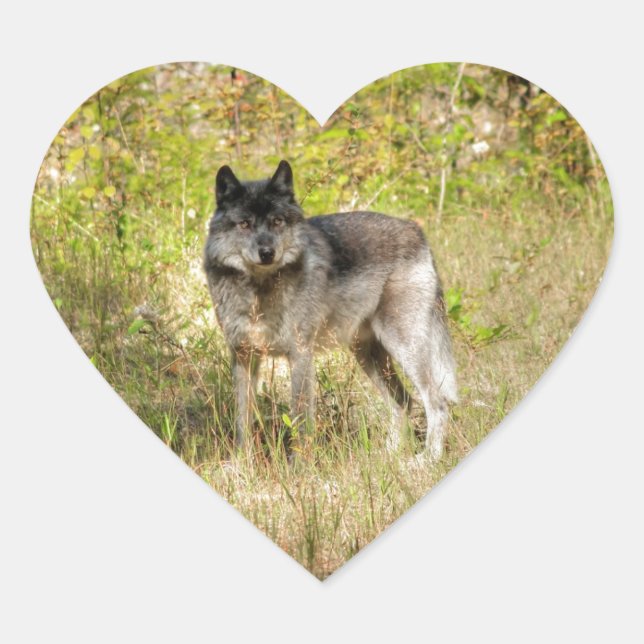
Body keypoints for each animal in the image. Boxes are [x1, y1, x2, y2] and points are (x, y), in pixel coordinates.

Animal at [203, 160, 457, 460]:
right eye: (244, 224)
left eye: (277, 221)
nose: (267, 253)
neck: (258, 291)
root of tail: (416, 231)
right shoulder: (243, 356)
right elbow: (243, 419)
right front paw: (242, 463)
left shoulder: (300, 355)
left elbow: (301, 422)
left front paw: (299, 467)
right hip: (367, 355)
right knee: (403, 403)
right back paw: (387, 458)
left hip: (403, 348)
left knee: (437, 402)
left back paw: (426, 460)